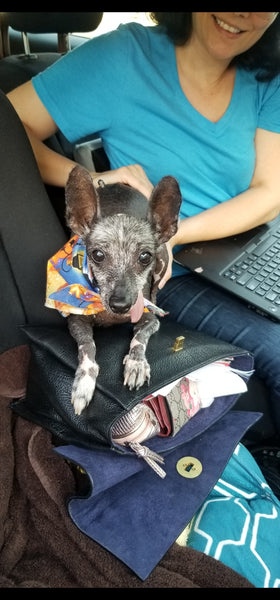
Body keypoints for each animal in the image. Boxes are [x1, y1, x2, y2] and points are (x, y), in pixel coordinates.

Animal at [65, 166, 182, 414]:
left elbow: (139, 338)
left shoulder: (150, 320)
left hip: (163, 261)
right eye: (98, 255)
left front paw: (136, 364)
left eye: (145, 257)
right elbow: (87, 346)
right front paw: (84, 382)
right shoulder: (75, 321)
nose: (120, 304)